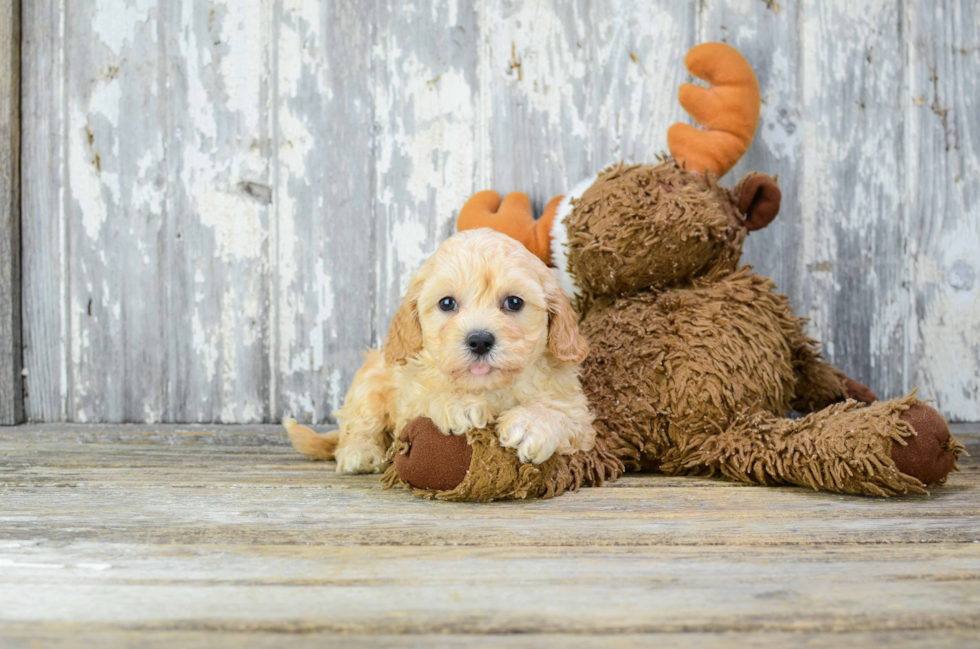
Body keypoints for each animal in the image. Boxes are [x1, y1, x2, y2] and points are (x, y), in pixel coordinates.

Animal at [286, 227, 596, 470]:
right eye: (447, 303)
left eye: (514, 302)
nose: (480, 340)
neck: (488, 388)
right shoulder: (408, 399)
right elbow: (428, 398)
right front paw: (460, 404)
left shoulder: (579, 417)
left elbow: (559, 414)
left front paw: (530, 424)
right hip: (369, 380)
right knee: (359, 424)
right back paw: (359, 452)